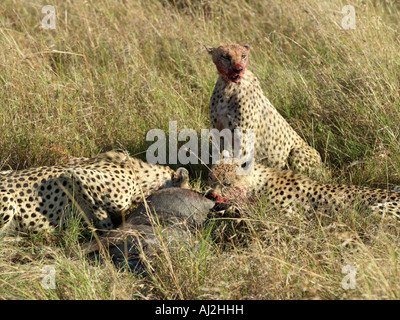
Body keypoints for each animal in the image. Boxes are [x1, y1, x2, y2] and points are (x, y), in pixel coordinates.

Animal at [206, 42, 322, 176]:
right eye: (225, 56)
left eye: (243, 55)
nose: (238, 69)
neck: (228, 86)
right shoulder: (218, 130)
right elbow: (219, 156)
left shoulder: (243, 136)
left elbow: (241, 162)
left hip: (297, 151)